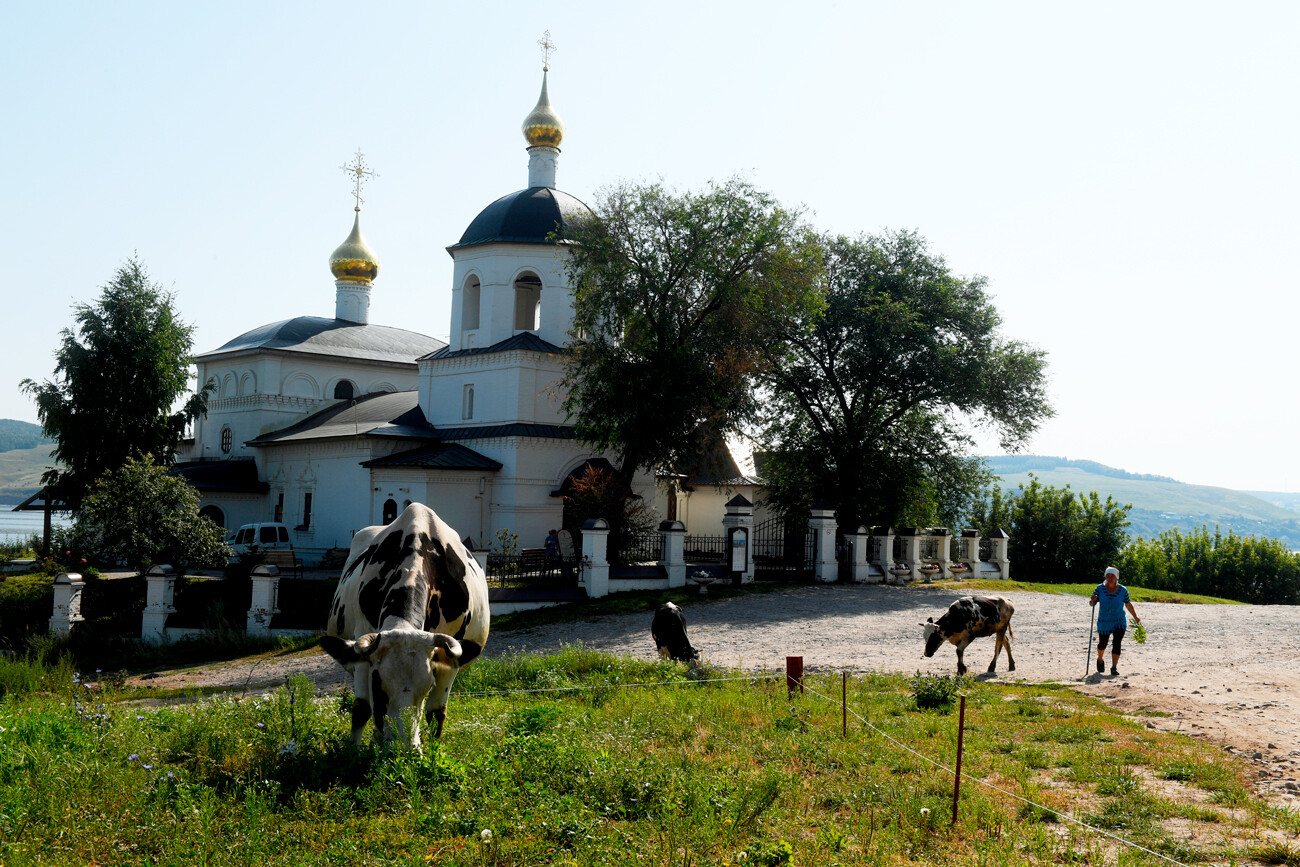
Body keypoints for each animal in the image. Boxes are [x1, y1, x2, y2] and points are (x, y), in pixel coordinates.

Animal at [318, 501, 488, 753]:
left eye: (428, 686)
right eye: (378, 684)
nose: (404, 748)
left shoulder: (450, 656)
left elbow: (436, 712)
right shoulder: (363, 648)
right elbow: (361, 709)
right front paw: (353, 753)